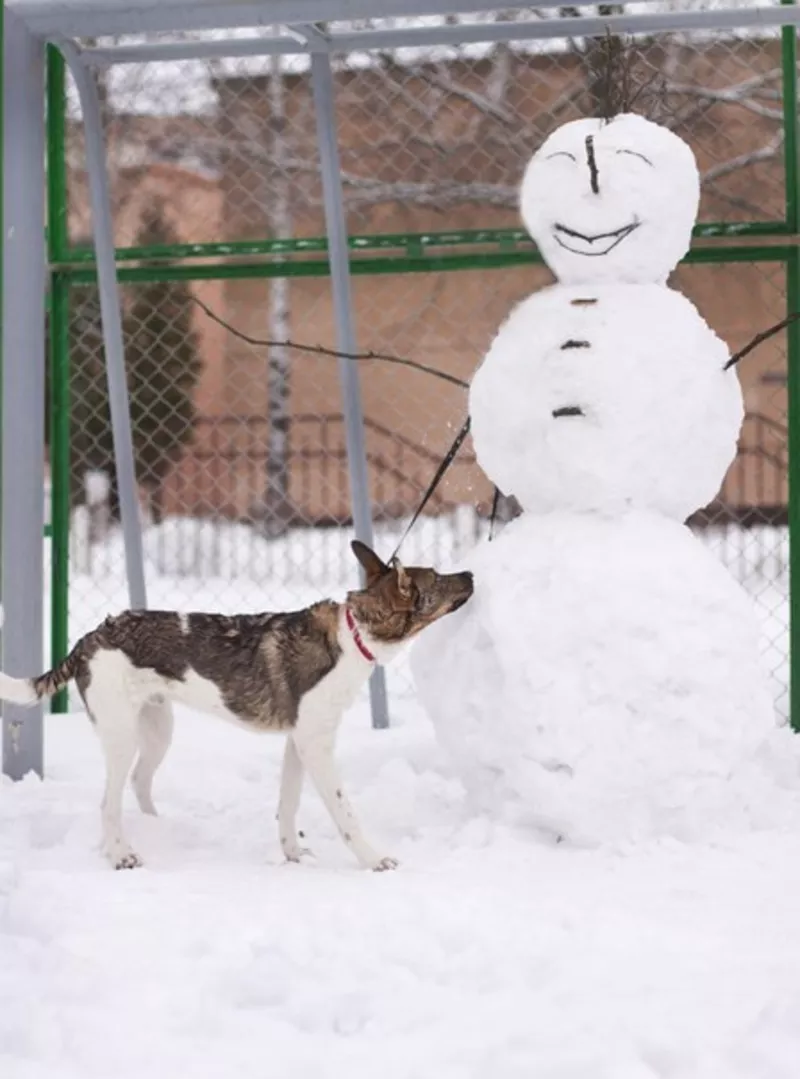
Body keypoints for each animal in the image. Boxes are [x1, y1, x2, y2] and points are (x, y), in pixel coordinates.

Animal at [0, 543, 470, 871]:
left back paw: (156, 828)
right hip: (120, 735)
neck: (353, 635)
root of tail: (88, 639)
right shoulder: (315, 745)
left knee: (138, 782)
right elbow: (345, 813)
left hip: (157, 728)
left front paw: (292, 855)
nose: (468, 572)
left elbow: (288, 805)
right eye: (438, 578)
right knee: (108, 802)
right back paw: (121, 855)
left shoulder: (298, 742)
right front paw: (374, 860)